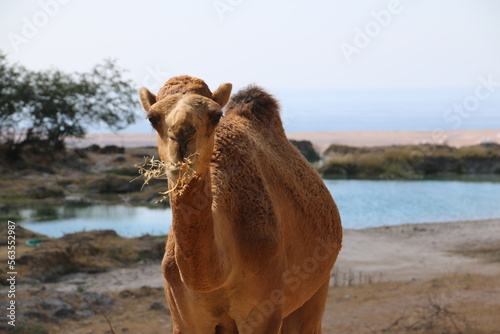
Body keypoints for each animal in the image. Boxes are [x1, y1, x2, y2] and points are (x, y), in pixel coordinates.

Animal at [139, 75, 342, 334]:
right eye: (153, 118)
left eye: (215, 115)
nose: (182, 135)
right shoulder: (184, 318)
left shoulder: (263, 312)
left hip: (317, 286)